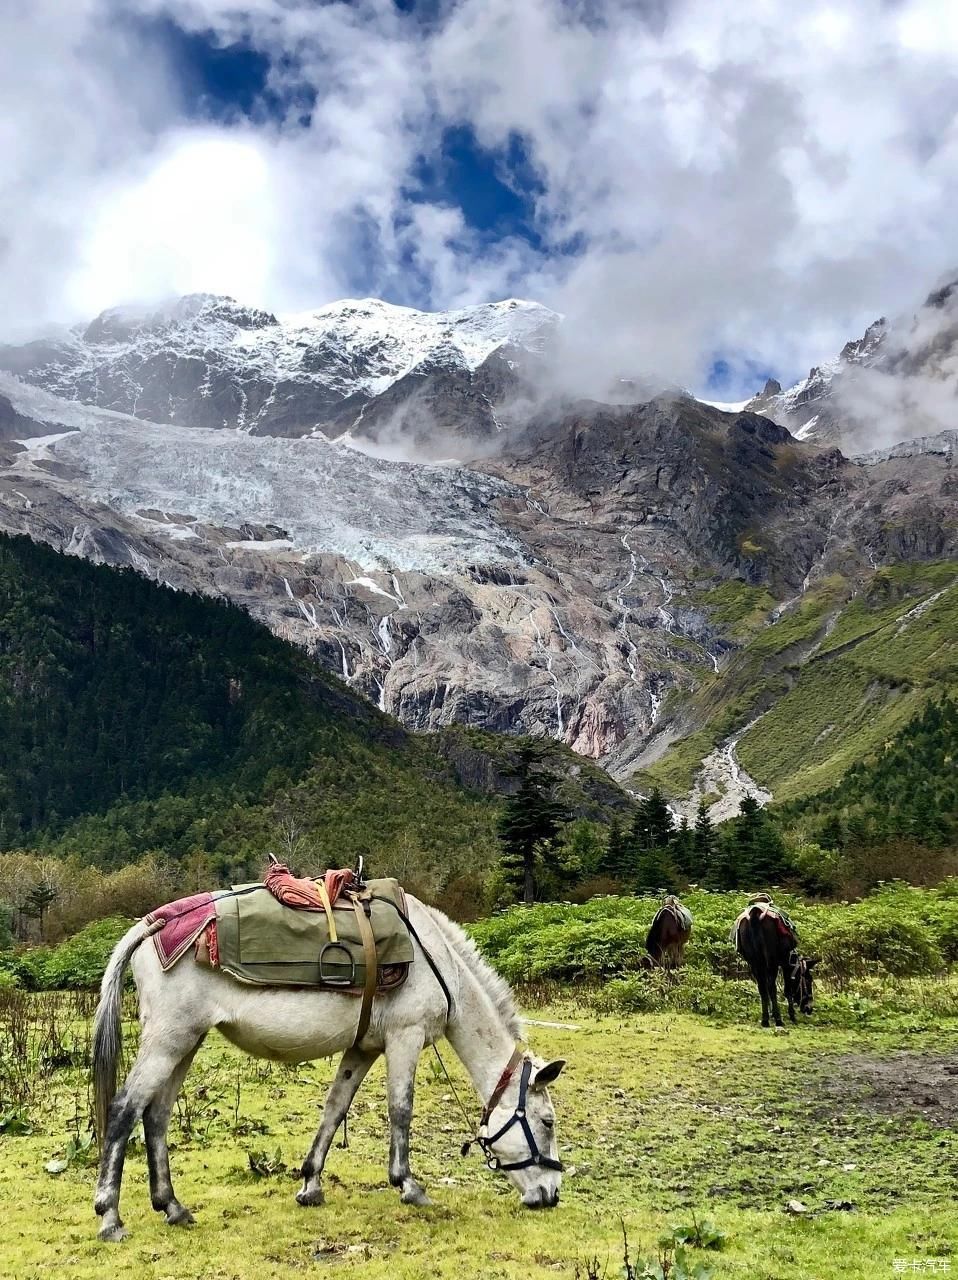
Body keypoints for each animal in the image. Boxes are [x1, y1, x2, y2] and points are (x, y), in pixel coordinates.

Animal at [91, 901, 560, 1239]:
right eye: (548, 1122)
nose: (551, 1196)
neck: (438, 962)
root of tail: (152, 924)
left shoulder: (362, 1049)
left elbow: (335, 1108)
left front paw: (310, 1185)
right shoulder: (404, 1038)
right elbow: (401, 1110)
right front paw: (408, 1185)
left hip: (185, 1042)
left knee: (156, 1115)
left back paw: (172, 1207)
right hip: (169, 1040)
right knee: (124, 1109)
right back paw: (110, 1217)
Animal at [732, 901, 814, 1029]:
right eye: (809, 980)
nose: (809, 1008)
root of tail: (755, 912)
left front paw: (770, 1013)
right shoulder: (785, 963)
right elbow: (787, 989)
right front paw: (792, 1015)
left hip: (755, 961)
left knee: (762, 987)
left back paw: (765, 1019)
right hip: (771, 960)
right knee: (771, 987)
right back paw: (778, 1019)